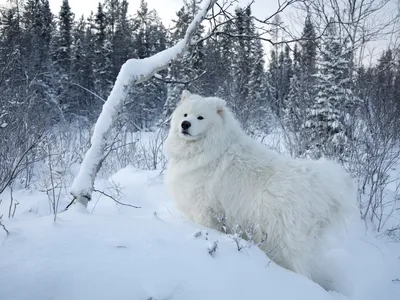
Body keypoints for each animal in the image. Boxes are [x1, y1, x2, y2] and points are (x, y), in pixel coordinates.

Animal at [166, 91, 356, 282]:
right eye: (185, 115)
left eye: (200, 117)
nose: (185, 124)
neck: (208, 148)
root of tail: (318, 183)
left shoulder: (204, 209)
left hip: (285, 240)